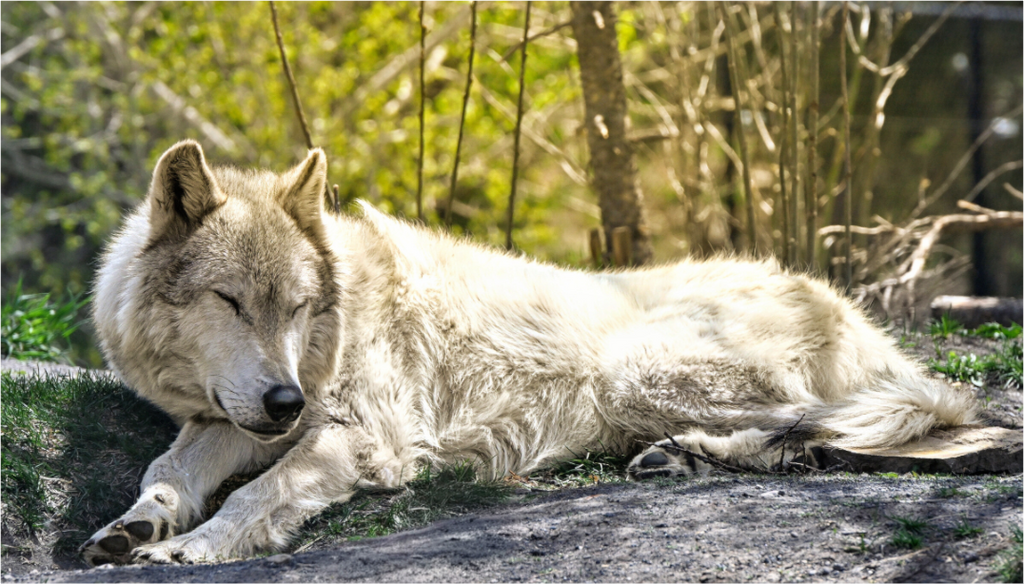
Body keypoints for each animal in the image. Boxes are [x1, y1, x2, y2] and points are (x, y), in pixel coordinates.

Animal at [83, 140, 978, 565]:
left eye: (298, 307)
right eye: (232, 302)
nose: (286, 401)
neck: (327, 343)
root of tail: (851, 313)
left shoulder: (362, 438)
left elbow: (255, 496)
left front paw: (191, 547)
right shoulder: (230, 417)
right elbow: (167, 469)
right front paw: (134, 525)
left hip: (634, 371)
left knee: (834, 422)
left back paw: (692, 452)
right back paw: (677, 456)